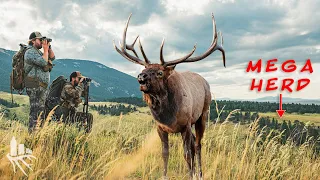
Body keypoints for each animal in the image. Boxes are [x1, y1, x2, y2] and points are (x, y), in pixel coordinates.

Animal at [112, 13, 225, 179]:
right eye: (143, 69)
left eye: (160, 72)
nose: (141, 77)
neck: (168, 115)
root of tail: (205, 81)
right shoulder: (160, 128)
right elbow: (165, 153)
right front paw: (165, 175)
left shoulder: (185, 125)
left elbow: (186, 154)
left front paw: (190, 175)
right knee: (193, 144)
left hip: (202, 114)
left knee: (197, 145)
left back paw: (199, 173)